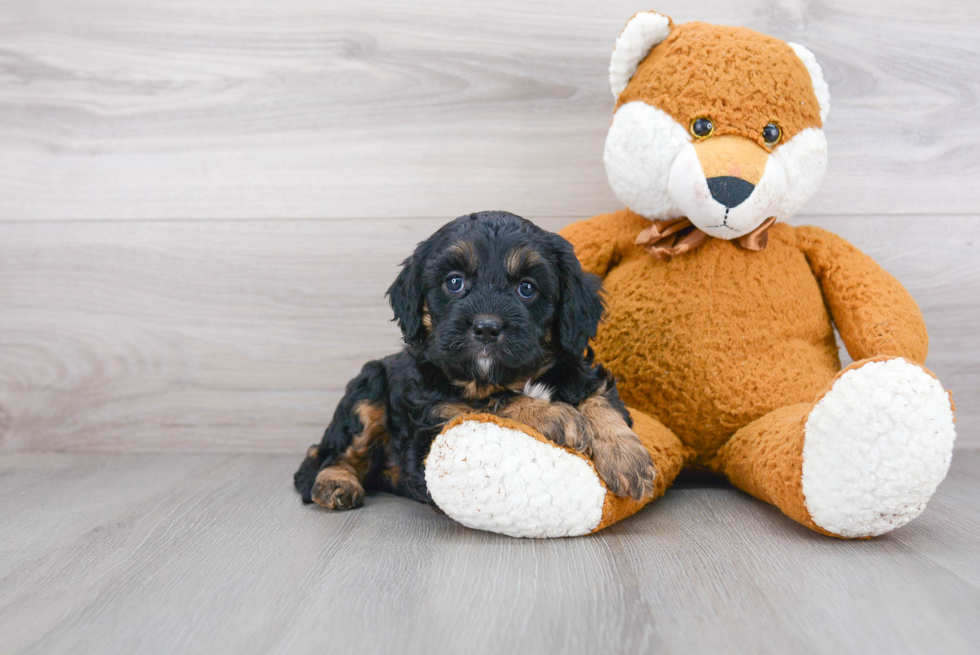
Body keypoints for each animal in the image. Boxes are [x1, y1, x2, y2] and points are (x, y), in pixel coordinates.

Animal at [294, 213, 656, 510]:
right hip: (368, 388)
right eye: (454, 282)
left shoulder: (583, 373)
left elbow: (600, 401)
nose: (486, 327)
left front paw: (628, 458)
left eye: (527, 288)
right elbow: (490, 403)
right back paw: (335, 482)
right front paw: (554, 415)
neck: (510, 376)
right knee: (330, 452)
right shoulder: (434, 422)